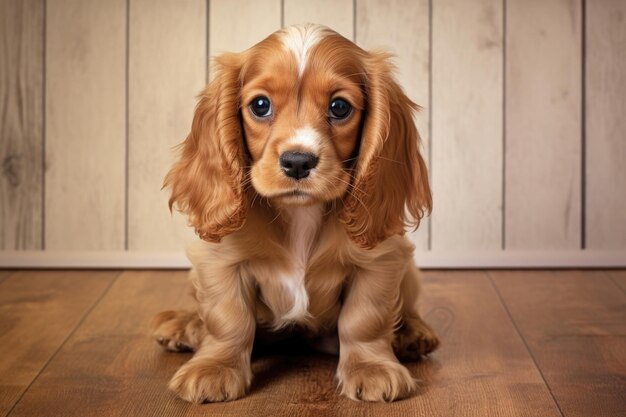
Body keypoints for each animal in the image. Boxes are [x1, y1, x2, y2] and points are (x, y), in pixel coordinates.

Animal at [155, 23, 438, 404]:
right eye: (260, 105)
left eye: (339, 107)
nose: (298, 161)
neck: (300, 214)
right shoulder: (219, 260)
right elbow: (228, 317)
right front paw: (214, 368)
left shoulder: (381, 260)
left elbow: (364, 318)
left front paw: (372, 368)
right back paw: (184, 325)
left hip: (408, 270)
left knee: (407, 307)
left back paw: (414, 334)